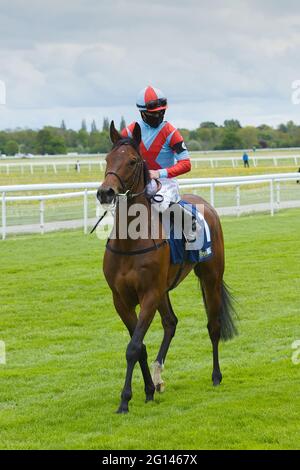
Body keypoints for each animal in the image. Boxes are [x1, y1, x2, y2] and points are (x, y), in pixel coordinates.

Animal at [96, 120, 237, 412]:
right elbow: (139, 345)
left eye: (132, 160)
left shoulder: (149, 294)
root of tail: (206, 205)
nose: (105, 192)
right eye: (107, 159)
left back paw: (216, 376)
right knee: (171, 322)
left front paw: (125, 400)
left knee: (213, 325)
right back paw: (159, 378)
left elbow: (133, 347)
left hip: (211, 277)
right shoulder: (122, 299)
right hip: (164, 289)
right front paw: (148, 389)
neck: (130, 242)